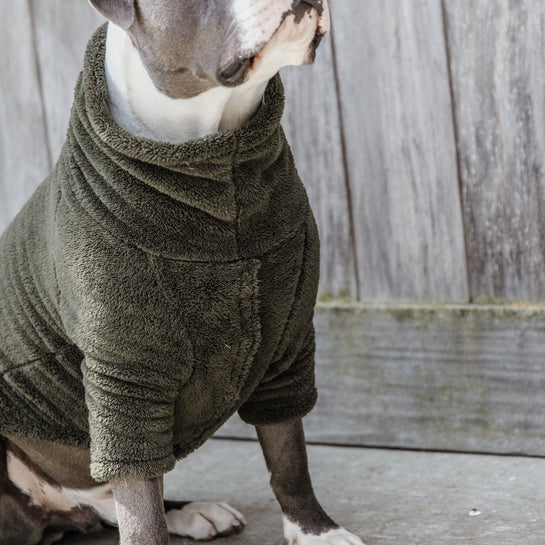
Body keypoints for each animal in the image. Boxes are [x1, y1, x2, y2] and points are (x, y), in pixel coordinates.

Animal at [0, 1, 366, 544]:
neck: (215, 156)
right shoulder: (126, 379)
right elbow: (140, 508)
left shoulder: (287, 343)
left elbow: (289, 457)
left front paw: (316, 530)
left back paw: (192, 512)